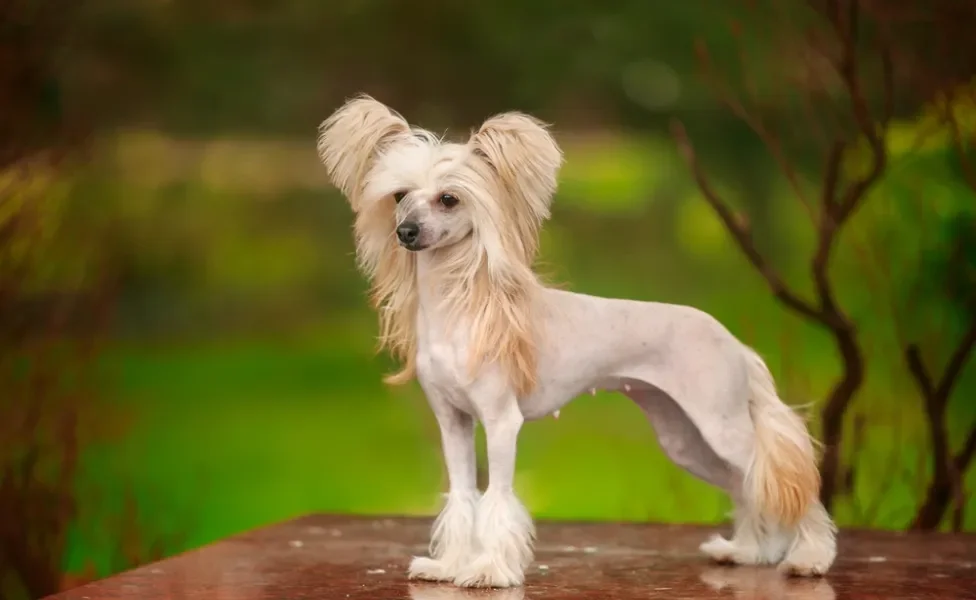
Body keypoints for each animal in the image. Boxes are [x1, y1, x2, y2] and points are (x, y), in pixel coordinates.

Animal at [316, 96, 836, 588]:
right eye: (400, 195)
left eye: (449, 199)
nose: (405, 232)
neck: (458, 309)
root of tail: (736, 344)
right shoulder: (454, 422)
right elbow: (463, 496)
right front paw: (451, 566)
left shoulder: (501, 422)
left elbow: (498, 498)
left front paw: (490, 571)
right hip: (685, 438)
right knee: (746, 485)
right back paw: (748, 551)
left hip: (722, 427)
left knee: (788, 486)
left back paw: (809, 558)